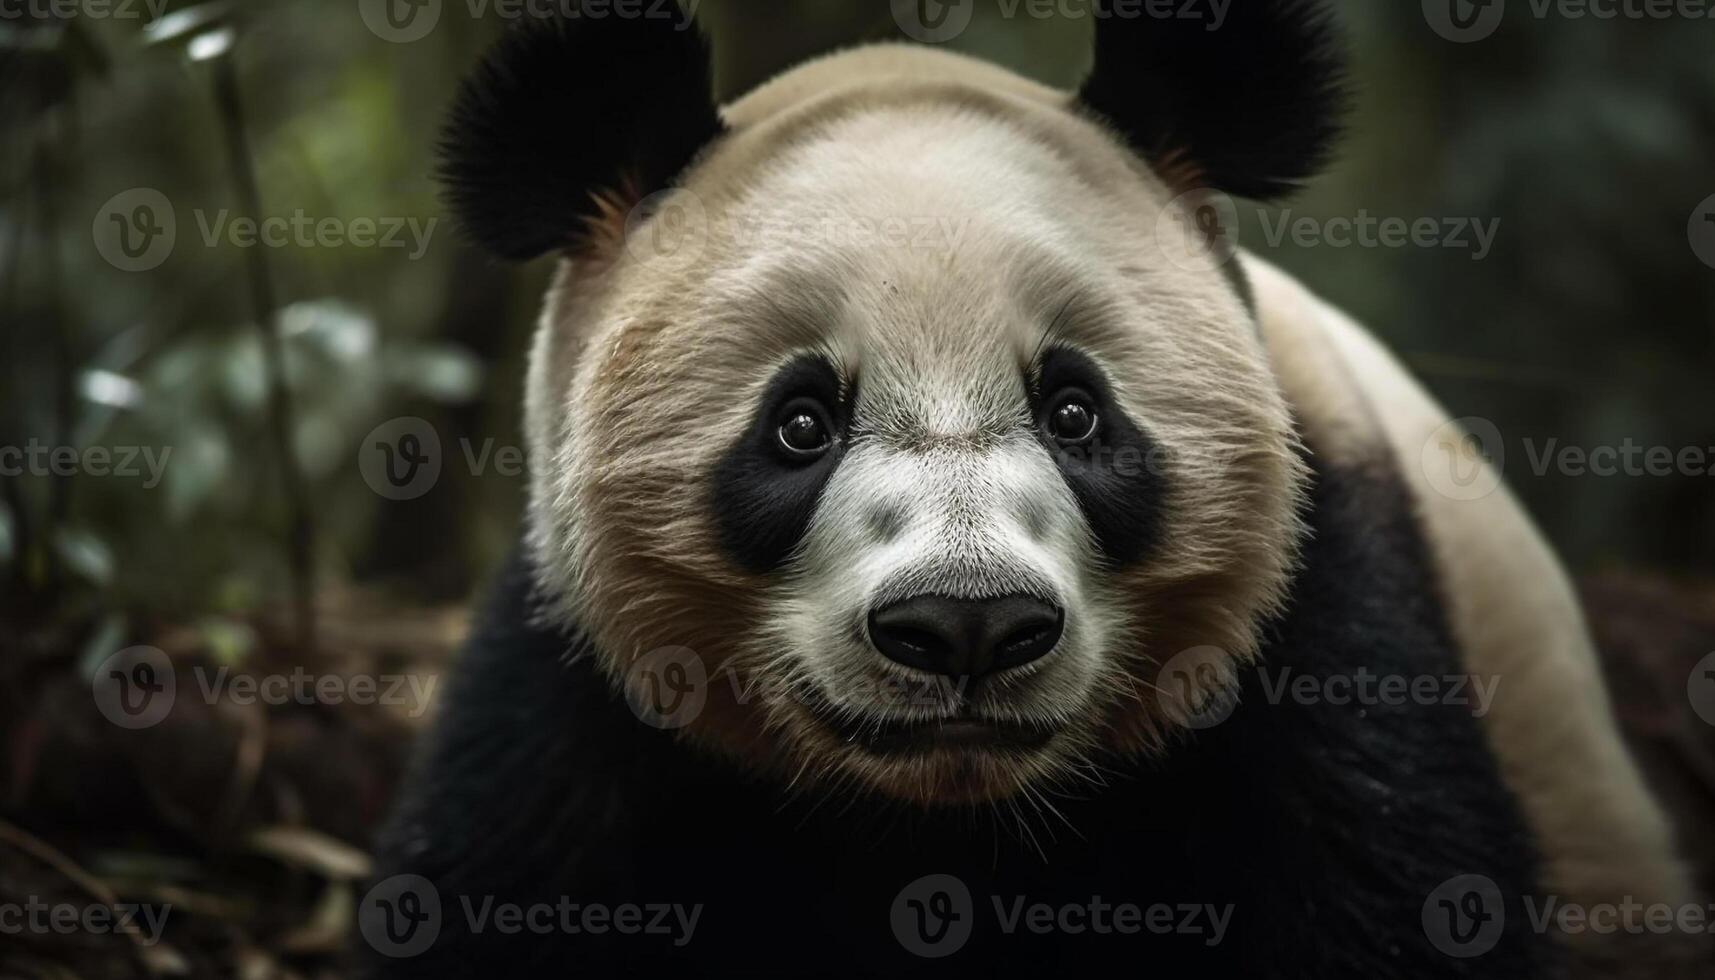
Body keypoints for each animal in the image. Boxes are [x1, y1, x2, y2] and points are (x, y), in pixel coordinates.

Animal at [365, 3, 1701, 974]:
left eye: (1074, 411)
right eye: (799, 423)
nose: (966, 623)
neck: (944, 813)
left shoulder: (1330, 617)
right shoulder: (573, 695)